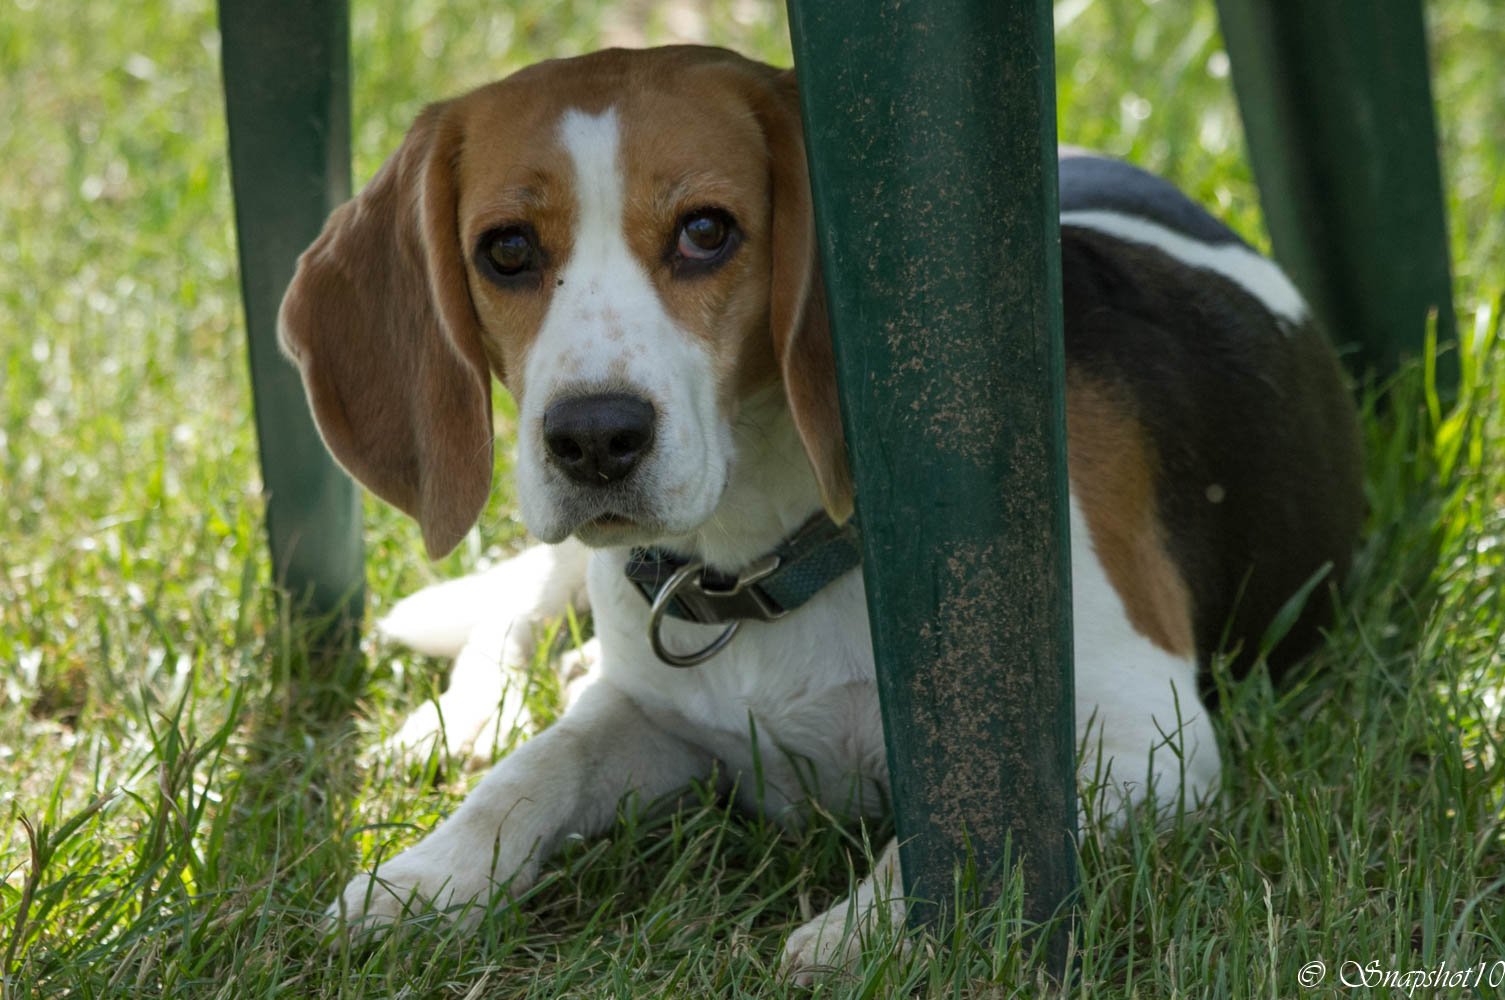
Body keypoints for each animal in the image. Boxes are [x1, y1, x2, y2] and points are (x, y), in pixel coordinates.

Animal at [279, 48, 1366, 981]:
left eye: (707, 231)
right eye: (504, 250)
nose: (591, 437)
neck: (756, 562)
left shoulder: (1146, 739)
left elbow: (977, 833)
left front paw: (869, 930)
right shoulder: (649, 715)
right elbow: (537, 767)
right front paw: (424, 878)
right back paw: (467, 713)